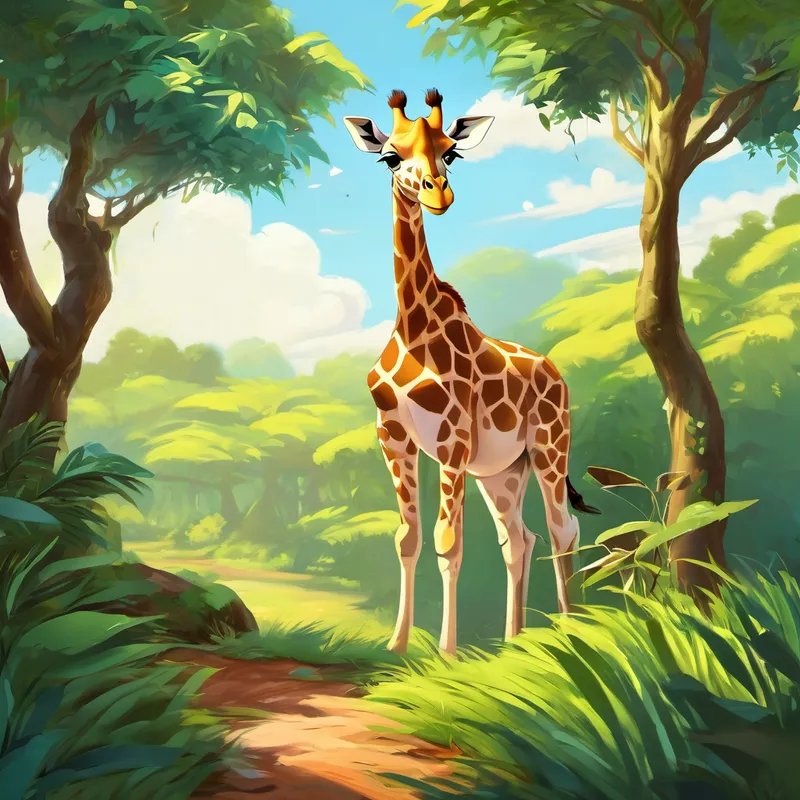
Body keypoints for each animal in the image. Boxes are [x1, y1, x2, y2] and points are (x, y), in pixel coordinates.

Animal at [344, 89, 600, 656]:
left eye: (452, 153)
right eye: (389, 157)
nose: (439, 195)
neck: (413, 329)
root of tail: (559, 376)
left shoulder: (451, 440)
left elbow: (448, 542)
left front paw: (446, 652)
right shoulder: (392, 436)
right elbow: (408, 538)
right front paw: (397, 647)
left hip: (549, 446)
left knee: (562, 528)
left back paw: (572, 632)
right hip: (502, 471)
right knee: (519, 538)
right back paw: (512, 642)